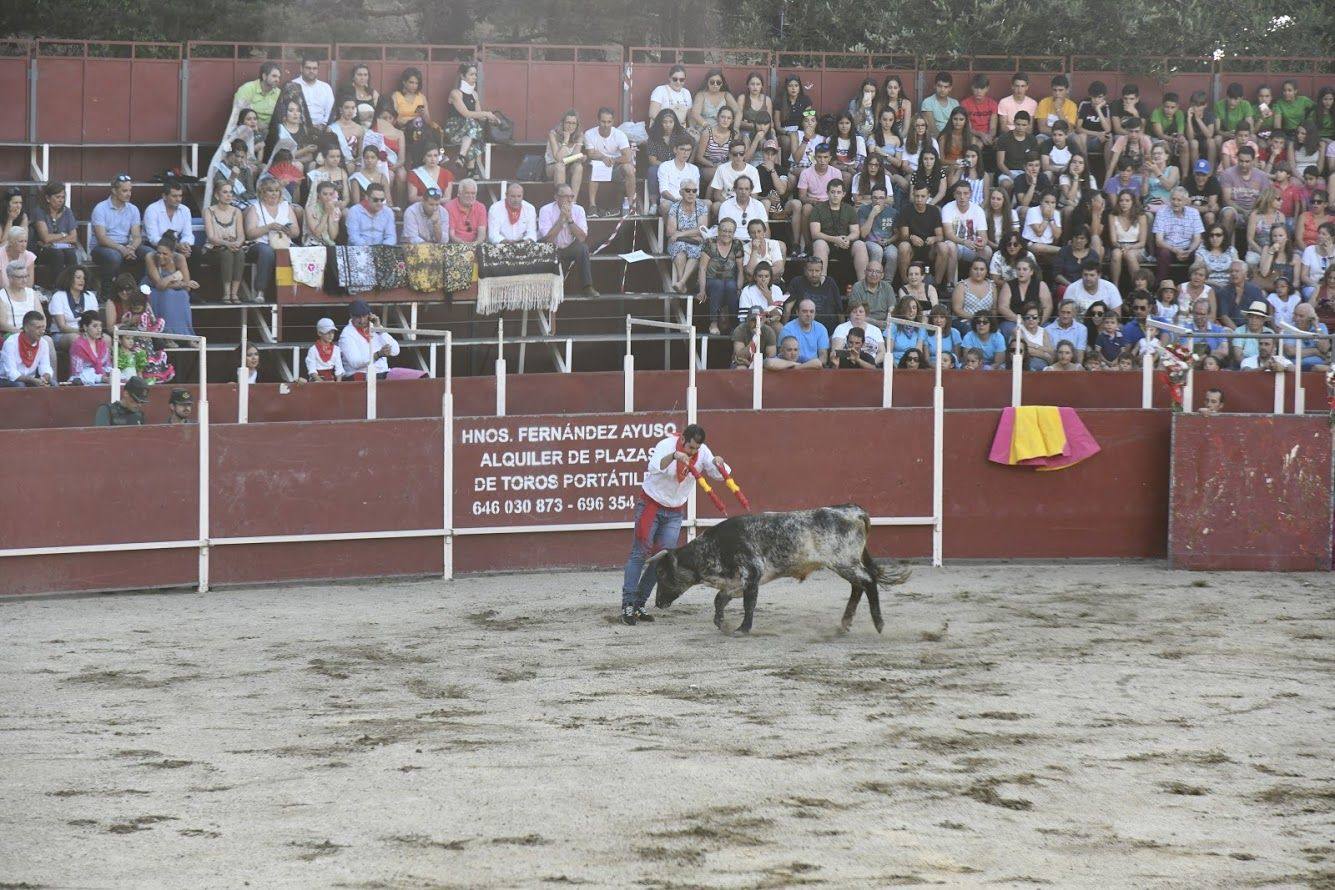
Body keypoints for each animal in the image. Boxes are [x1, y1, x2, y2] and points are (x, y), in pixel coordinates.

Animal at [643, 504, 913, 637]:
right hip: (846, 564)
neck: (711, 547)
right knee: (858, 586)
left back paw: (878, 623)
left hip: (844, 562)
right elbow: (719, 600)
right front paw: (722, 624)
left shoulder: (752, 572)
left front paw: (742, 629)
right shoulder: (734, 581)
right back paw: (843, 625)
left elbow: (748, 603)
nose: (657, 603)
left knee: (867, 581)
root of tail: (853, 511)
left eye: (661, 574)